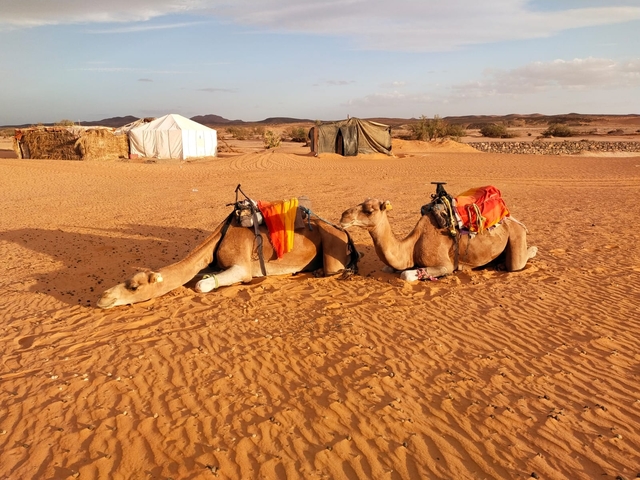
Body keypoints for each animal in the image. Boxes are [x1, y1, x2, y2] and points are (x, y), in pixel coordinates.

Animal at [97, 211, 358, 309]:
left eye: (133, 287)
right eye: (126, 279)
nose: (103, 298)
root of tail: (345, 233)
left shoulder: (242, 266)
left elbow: (202, 284)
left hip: (332, 246)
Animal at [340, 198, 537, 281]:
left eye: (369, 210)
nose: (343, 216)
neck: (412, 246)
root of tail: (512, 218)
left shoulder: (445, 264)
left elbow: (406, 274)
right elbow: (388, 268)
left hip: (516, 234)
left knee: (517, 263)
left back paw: (533, 250)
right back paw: (499, 263)